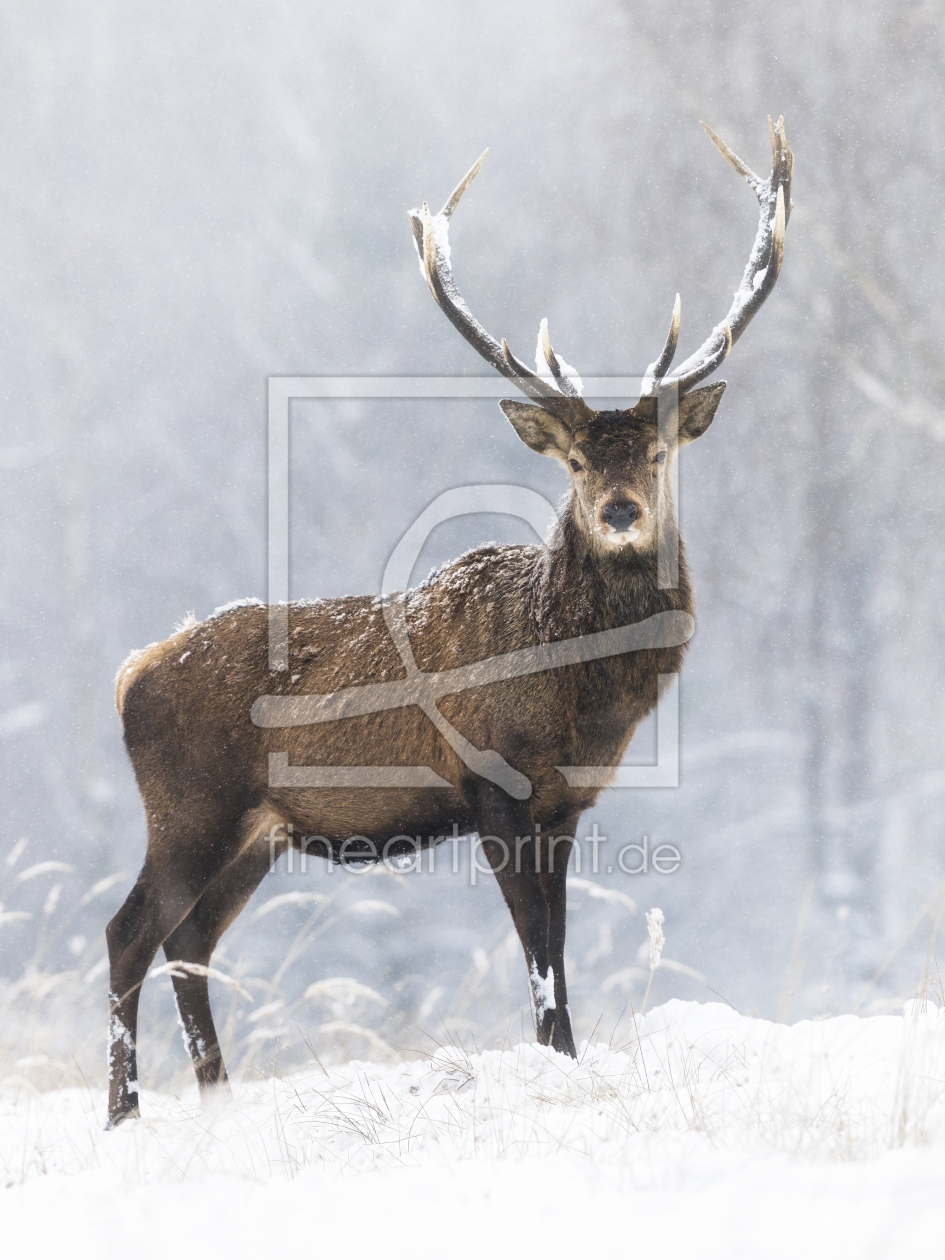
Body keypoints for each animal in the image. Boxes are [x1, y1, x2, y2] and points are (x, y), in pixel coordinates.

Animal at [107, 115, 796, 1123]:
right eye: (576, 462)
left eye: (659, 452)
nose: (619, 510)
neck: (574, 694)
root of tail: (129, 673)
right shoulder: (492, 786)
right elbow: (536, 954)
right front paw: (554, 1061)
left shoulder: (566, 803)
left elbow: (557, 946)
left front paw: (565, 1060)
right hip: (189, 804)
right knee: (128, 933)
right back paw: (122, 1112)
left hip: (254, 832)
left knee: (187, 942)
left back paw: (215, 1096)